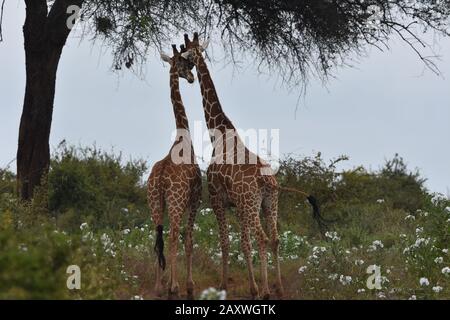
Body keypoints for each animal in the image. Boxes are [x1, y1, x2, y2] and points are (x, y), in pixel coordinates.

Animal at [181, 31, 326, 298]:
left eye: (187, 54)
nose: (188, 75)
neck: (219, 135)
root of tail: (267, 180)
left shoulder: (217, 199)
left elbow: (227, 242)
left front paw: (225, 284)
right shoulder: (237, 205)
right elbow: (244, 243)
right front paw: (251, 285)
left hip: (251, 204)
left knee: (263, 238)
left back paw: (266, 290)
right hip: (269, 202)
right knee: (275, 238)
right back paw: (278, 287)